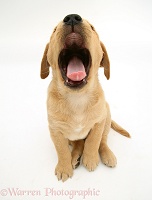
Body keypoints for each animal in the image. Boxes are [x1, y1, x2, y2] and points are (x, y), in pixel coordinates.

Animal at [40, 14, 131, 182]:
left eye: (93, 28)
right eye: (54, 30)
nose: (71, 18)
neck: (77, 98)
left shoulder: (99, 122)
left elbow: (93, 141)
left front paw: (90, 158)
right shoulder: (55, 130)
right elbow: (61, 150)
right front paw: (64, 167)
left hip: (107, 117)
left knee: (102, 141)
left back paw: (106, 155)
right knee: (78, 144)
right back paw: (74, 158)